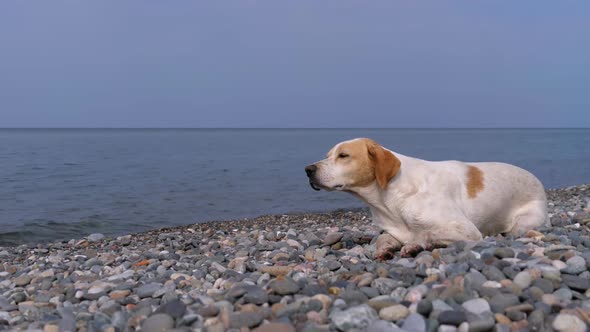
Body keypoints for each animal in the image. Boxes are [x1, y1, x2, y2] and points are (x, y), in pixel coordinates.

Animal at [306, 137, 552, 260]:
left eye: (343, 155)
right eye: (328, 155)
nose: (308, 170)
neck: (393, 194)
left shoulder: (468, 231)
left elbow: (427, 233)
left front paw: (415, 245)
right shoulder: (392, 229)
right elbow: (384, 238)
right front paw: (385, 249)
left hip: (521, 224)